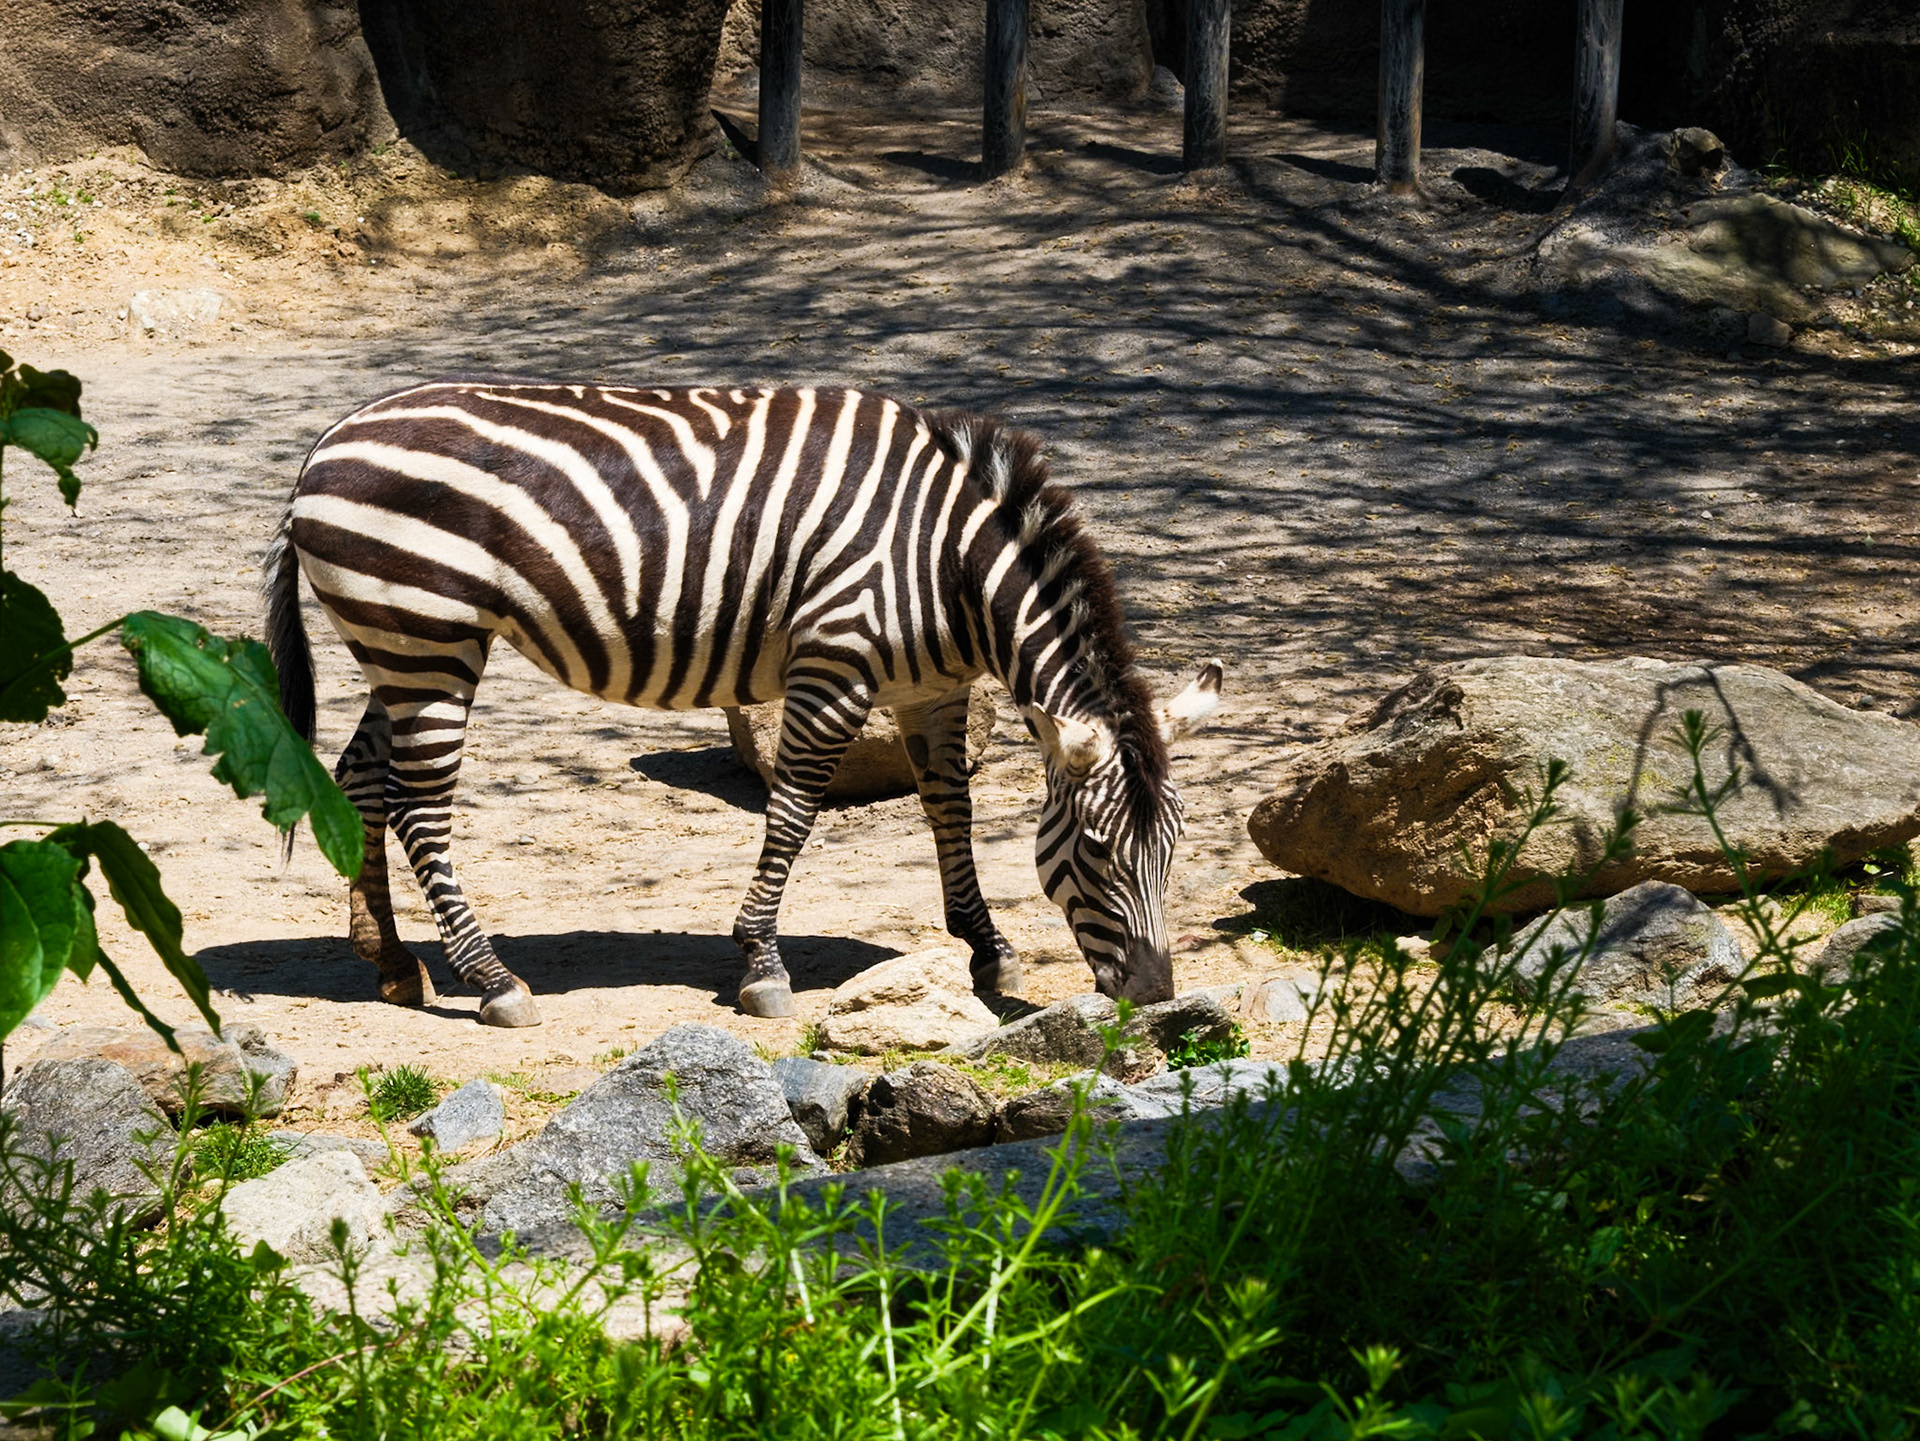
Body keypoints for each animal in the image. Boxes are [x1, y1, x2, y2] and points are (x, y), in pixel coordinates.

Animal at [265, 379, 1222, 1027]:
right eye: (1094, 850)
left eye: (1174, 848)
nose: (1154, 997)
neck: (948, 561)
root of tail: (324, 443)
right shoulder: (834, 664)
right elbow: (793, 812)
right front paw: (762, 963)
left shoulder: (935, 690)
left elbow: (950, 807)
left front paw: (986, 949)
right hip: (430, 637)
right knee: (421, 806)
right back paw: (493, 981)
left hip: (403, 646)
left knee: (362, 778)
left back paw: (391, 961)